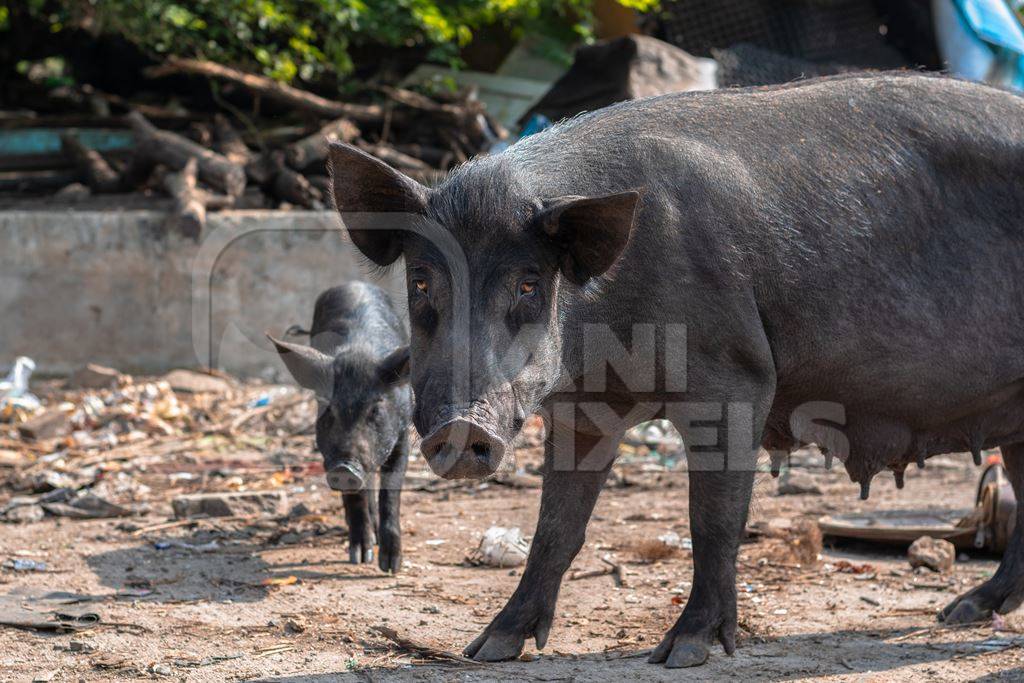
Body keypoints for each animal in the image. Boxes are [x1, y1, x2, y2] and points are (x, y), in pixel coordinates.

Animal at [268, 280, 411, 573]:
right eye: (327, 407)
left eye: (375, 408)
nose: (345, 468)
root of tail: (353, 283)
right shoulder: (327, 451)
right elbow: (354, 497)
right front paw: (360, 557)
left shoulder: (403, 434)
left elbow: (391, 490)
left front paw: (391, 567)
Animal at [325, 74, 1024, 667]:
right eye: (422, 281)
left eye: (528, 283)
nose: (462, 428)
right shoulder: (580, 407)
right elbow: (557, 527)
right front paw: (487, 649)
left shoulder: (737, 377)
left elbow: (713, 521)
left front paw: (681, 652)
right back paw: (961, 611)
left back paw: (958, 618)